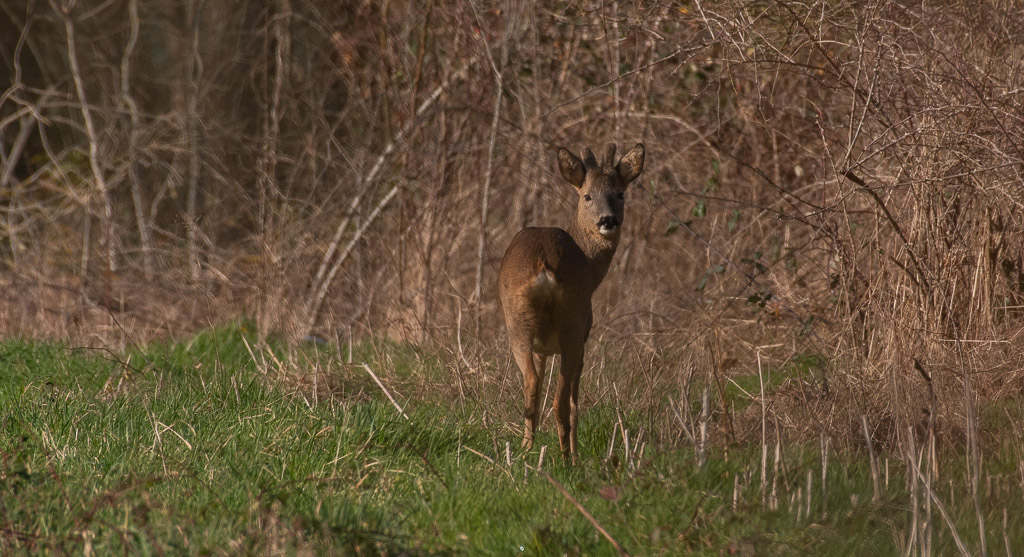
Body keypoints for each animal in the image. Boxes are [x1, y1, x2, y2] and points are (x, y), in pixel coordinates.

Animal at [499, 142, 643, 460]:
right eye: (587, 195)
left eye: (620, 193)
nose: (608, 220)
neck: (590, 266)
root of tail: (544, 264)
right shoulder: (585, 335)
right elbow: (576, 401)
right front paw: (575, 452)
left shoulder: (542, 348)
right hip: (573, 324)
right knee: (561, 401)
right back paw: (568, 459)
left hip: (518, 323)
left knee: (533, 387)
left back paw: (525, 452)